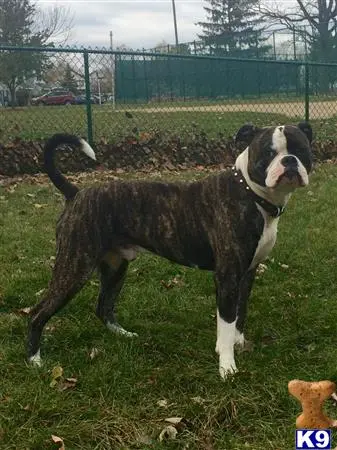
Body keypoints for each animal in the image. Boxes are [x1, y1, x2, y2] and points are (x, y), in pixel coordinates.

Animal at [27, 121, 312, 378]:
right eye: (268, 152)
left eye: (301, 149)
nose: (289, 161)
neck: (250, 193)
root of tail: (75, 193)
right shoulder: (228, 276)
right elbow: (226, 321)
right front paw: (227, 366)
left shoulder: (247, 273)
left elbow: (239, 314)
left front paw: (236, 344)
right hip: (74, 268)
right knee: (37, 312)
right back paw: (34, 360)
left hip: (115, 268)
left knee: (103, 306)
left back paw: (123, 335)